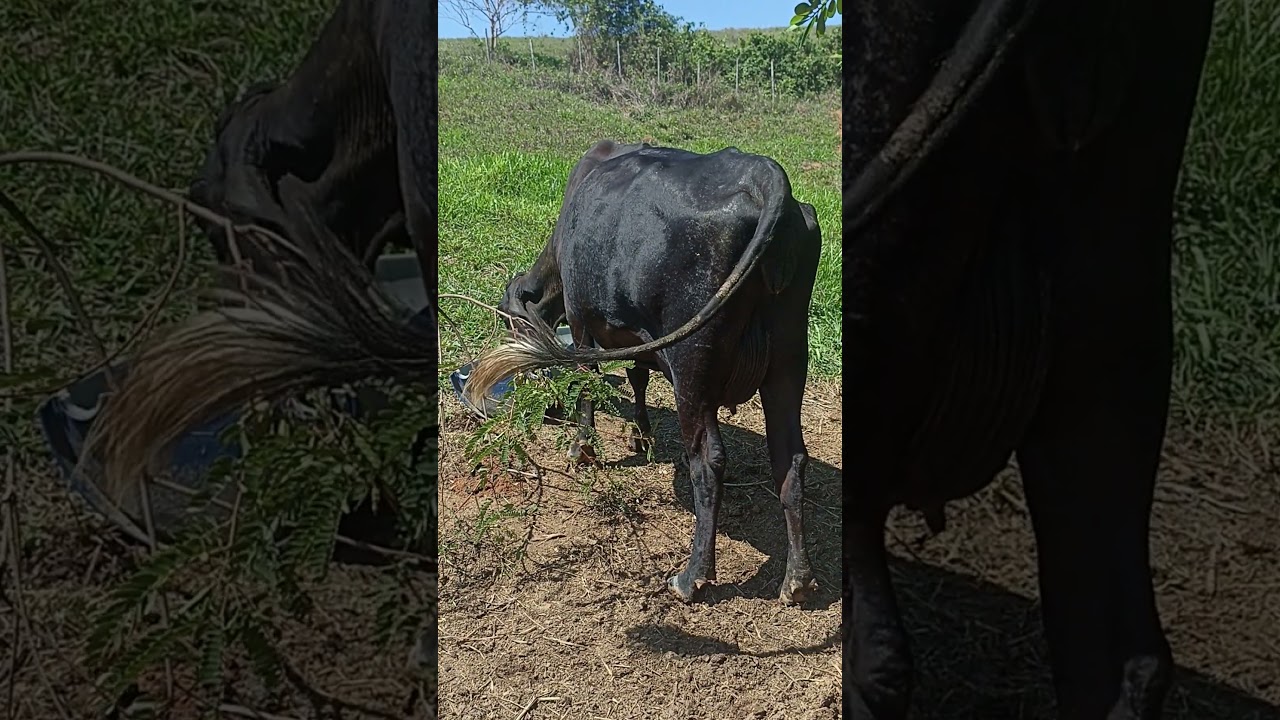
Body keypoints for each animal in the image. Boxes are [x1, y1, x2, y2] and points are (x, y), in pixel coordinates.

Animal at [470, 140, 823, 604]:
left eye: (510, 322)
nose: (540, 400)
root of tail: (763, 173)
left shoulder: (581, 321)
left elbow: (588, 382)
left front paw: (582, 447)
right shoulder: (638, 329)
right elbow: (638, 375)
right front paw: (640, 433)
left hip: (692, 364)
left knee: (708, 461)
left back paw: (692, 577)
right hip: (787, 363)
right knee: (790, 459)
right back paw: (797, 580)